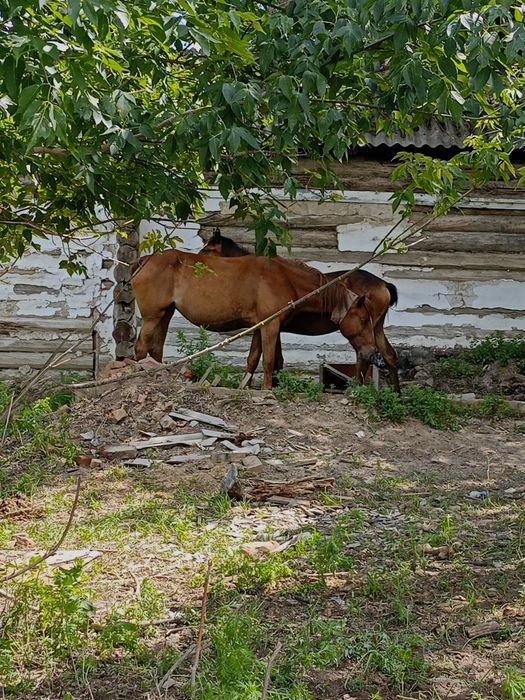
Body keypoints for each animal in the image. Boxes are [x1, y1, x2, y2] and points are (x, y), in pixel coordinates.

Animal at [131, 250, 372, 390]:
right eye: (363, 320)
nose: (370, 353)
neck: (284, 278)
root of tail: (145, 260)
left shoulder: (259, 326)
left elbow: (253, 359)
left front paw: (244, 387)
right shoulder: (270, 326)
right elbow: (269, 361)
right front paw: (267, 391)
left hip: (165, 314)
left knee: (156, 348)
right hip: (152, 316)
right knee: (141, 348)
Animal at [200, 228, 400, 392]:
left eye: (206, 250)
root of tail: (383, 284)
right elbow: (269, 359)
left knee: (363, 359)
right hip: (376, 328)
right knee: (389, 355)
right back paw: (396, 394)